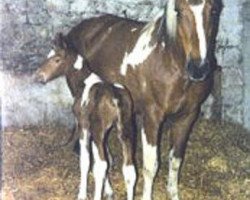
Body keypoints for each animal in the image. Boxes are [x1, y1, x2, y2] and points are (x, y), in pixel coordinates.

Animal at [37, 0, 223, 199]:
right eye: (179, 12)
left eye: (213, 11)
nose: (199, 69)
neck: (171, 62)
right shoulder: (152, 117)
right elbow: (151, 165)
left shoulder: (187, 116)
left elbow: (175, 161)